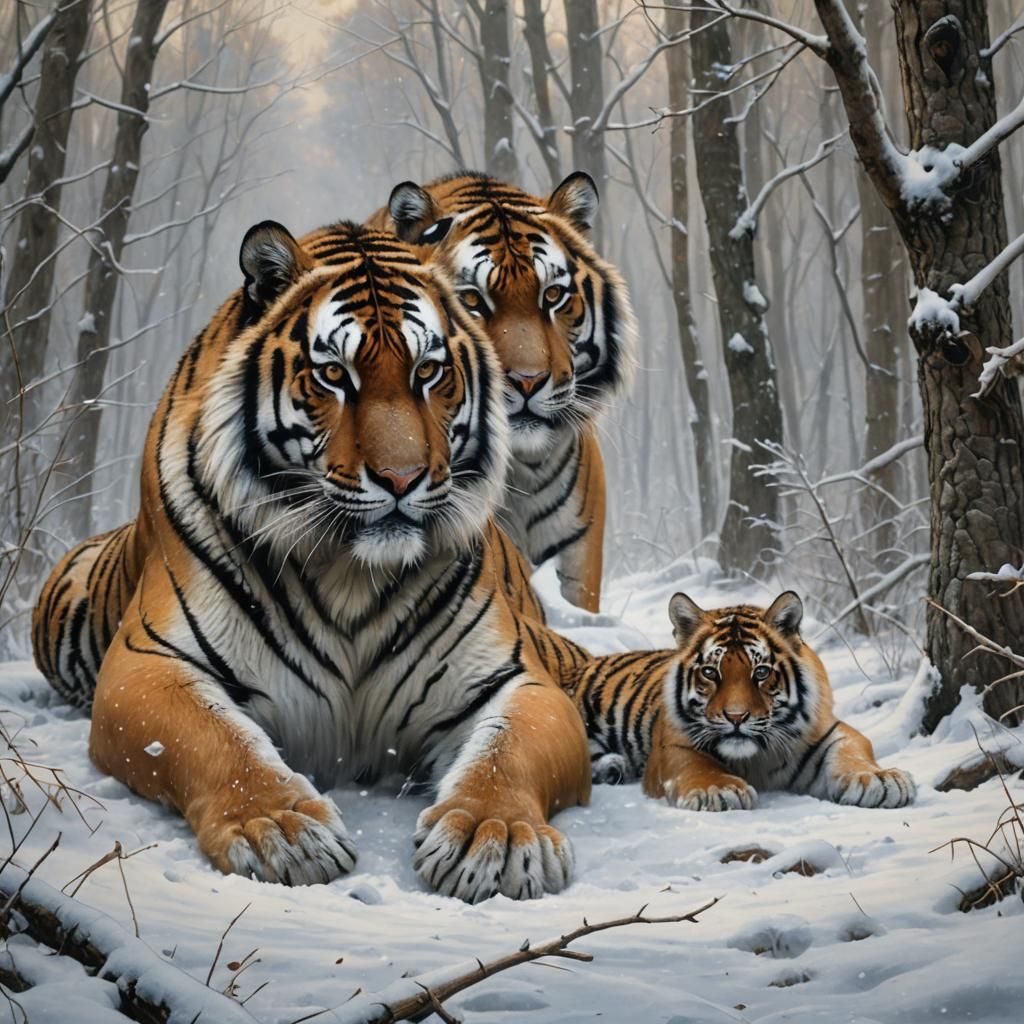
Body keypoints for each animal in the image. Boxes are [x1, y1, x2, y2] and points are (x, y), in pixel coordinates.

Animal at [33, 220, 594, 902]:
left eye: (429, 371)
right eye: (333, 374)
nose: (401, 479)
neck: (351, 571)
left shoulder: (514, 678)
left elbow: (504, 753)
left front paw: (499, 838)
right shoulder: (148, 666)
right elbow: (217, 739)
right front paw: (281, 830)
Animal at [568, 591, 916, 810]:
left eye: (760, 672)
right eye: (710, 672)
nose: (736, 717)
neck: (756, 758)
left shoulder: (829, 731)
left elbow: (851, 750)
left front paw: (880, 780)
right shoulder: (674, 746)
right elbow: (695, 765)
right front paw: (718, 790)